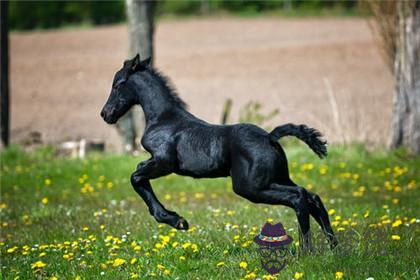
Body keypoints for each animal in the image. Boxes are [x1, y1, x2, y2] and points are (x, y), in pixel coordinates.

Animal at [99, 54, 338, 247]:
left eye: (117, 84)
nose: (105, 114)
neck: (164, 119)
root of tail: (270, 137)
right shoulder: (157, 162)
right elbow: (138, 174)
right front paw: (175, 219)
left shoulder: (164, 162)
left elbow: (136, 176)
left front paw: (177, 221)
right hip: (276, 178)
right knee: (312, 197)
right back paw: (333, 248)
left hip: (251, 187)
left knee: (299, 197)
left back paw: (306, 251)